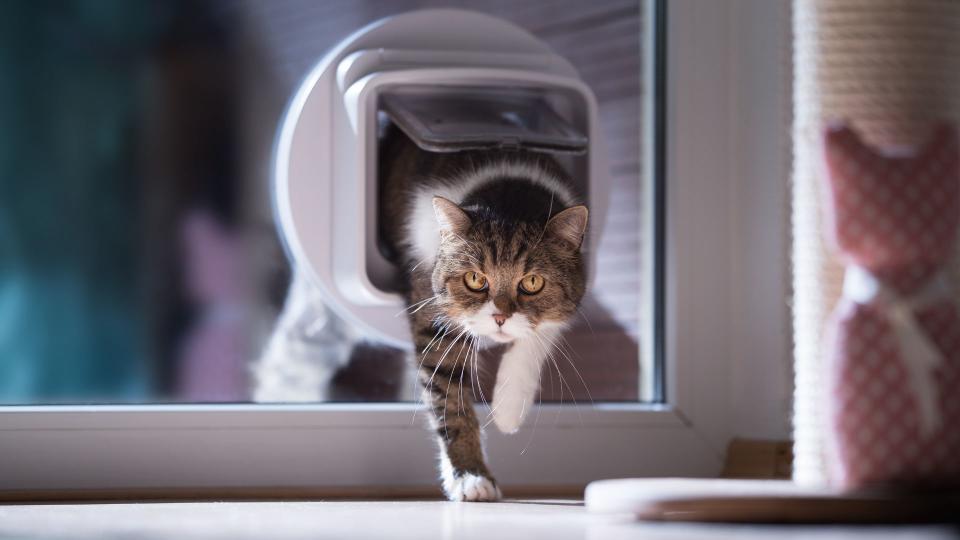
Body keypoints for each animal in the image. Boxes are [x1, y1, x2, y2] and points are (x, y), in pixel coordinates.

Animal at [378, 124, 588, 500]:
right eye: (475, 279)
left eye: (532, 282)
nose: (500, 317)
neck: (510, 194)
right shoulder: (434, 312)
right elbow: (449, 397)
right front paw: (470, 475)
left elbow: (540, 334)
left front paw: (509, 409)